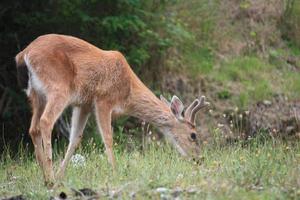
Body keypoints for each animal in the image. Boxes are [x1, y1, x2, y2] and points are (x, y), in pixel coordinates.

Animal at [15, 33, 210, 187]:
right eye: (193, 135)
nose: (199, 159)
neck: (128, 92)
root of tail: (24, 53)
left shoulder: (84, 104)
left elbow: (75, 139)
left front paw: (61, 175)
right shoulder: (103, 99)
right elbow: (108, 138)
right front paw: (115, 171)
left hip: (36, 94)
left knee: (33, 128)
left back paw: (46, 176)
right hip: (58, 88)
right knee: (46, 121)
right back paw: (50, 175)